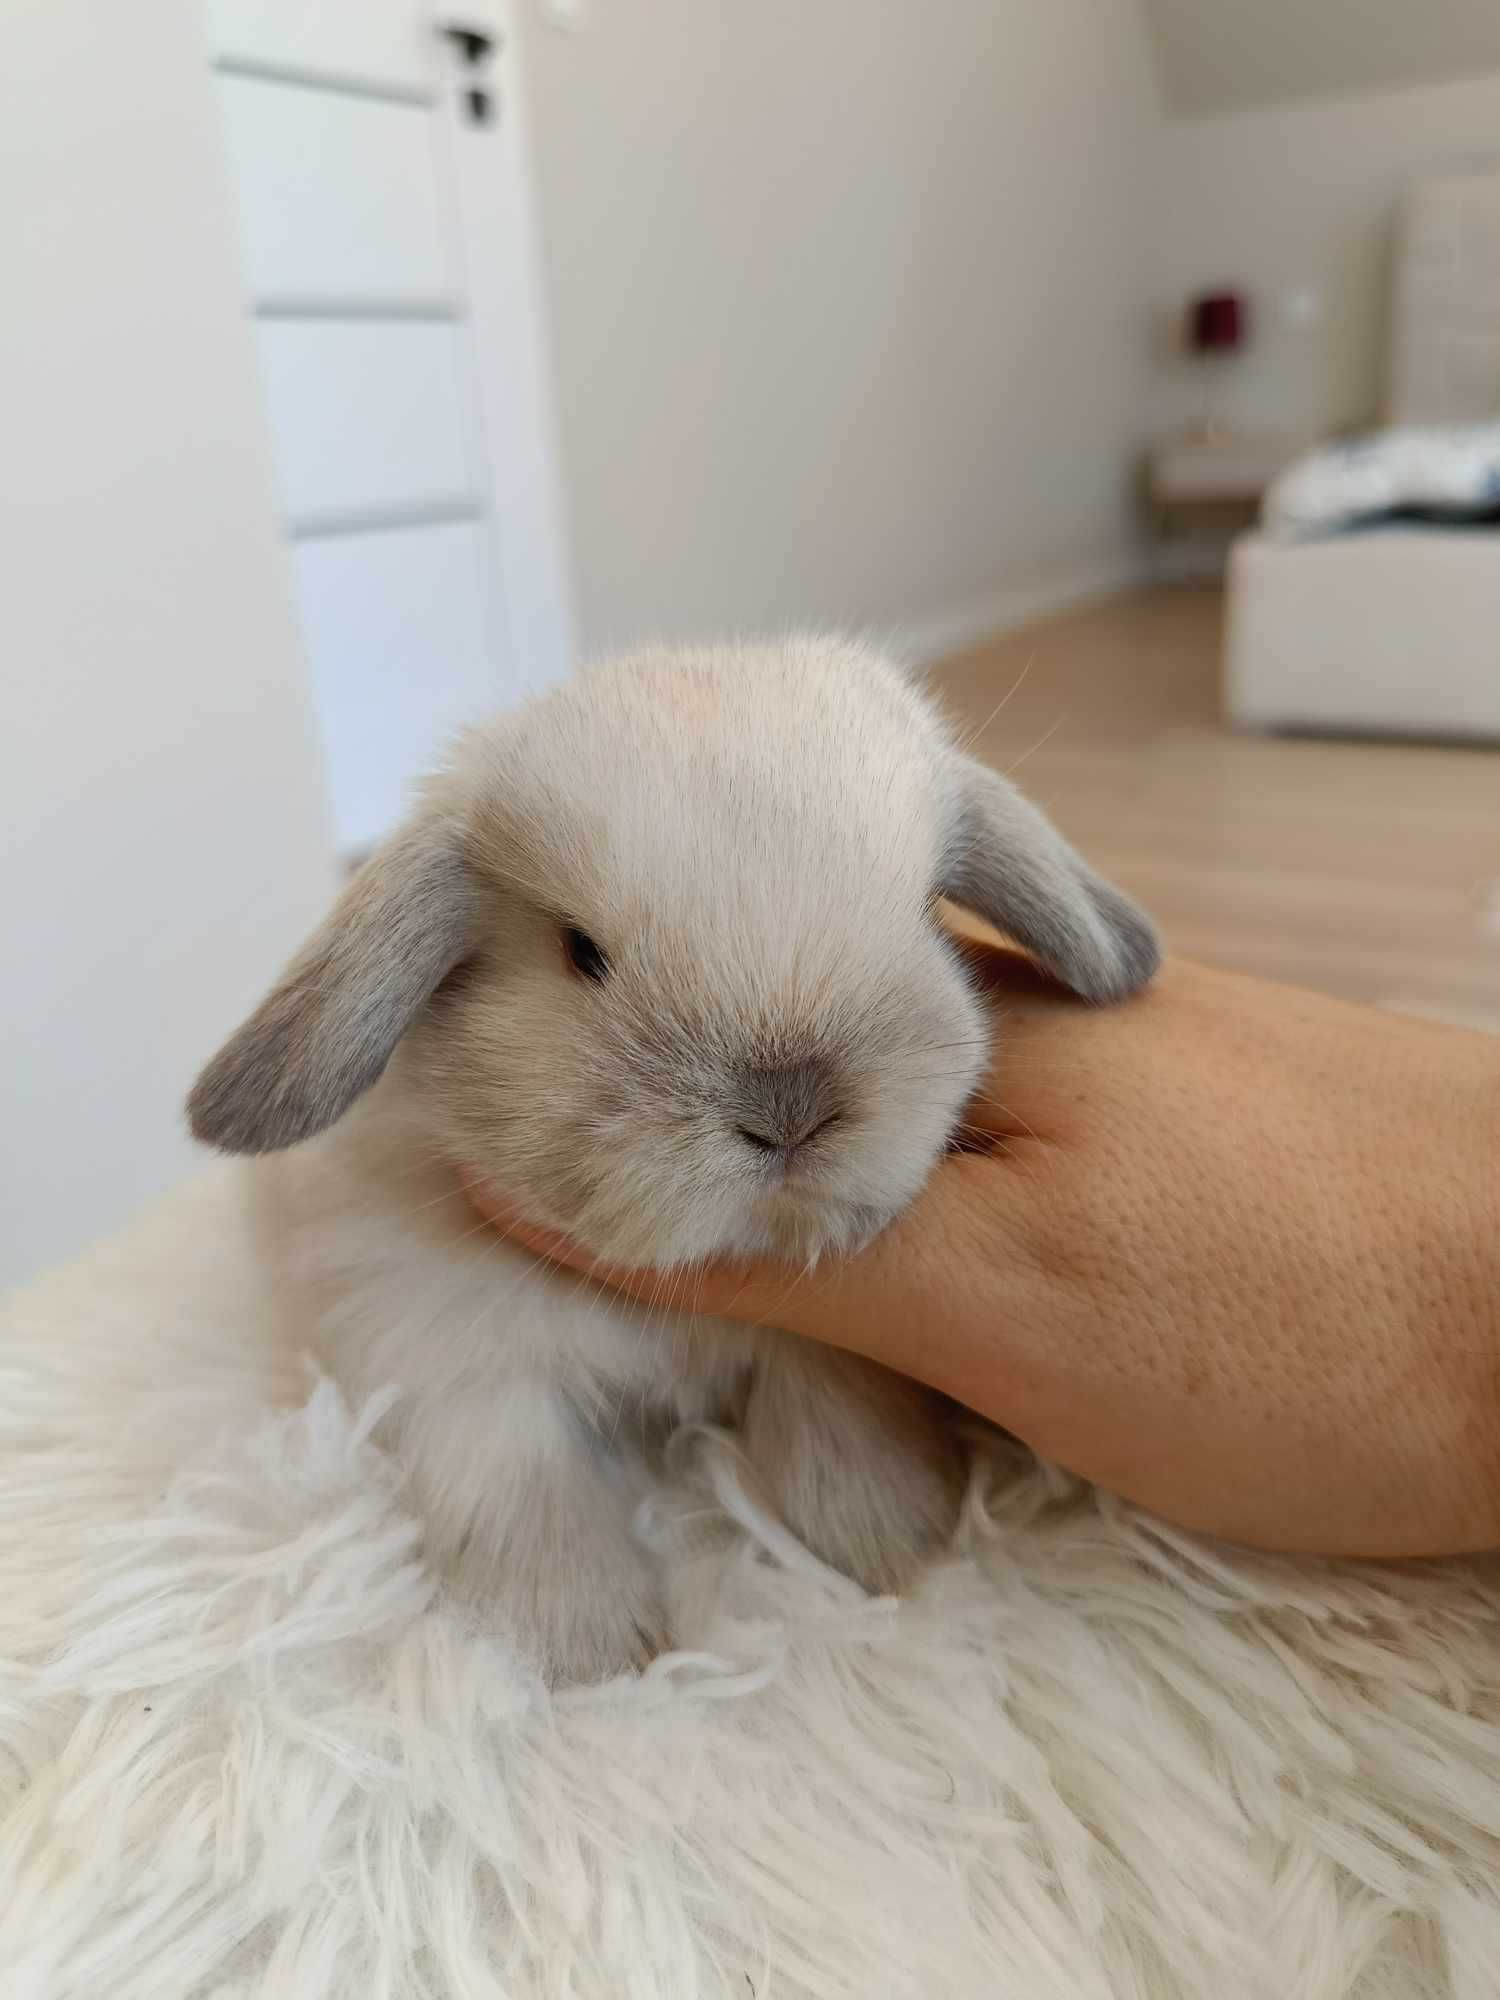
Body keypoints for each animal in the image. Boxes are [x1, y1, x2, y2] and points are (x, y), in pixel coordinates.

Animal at [191, 632, 1160, 1680]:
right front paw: (592, 1650)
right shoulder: (450, 1362)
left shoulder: (835, 1345)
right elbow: (524, 1495)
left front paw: (881, 1539)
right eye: (581, 953)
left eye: (923, 916)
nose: (790, 1108)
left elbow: (839, 1407)